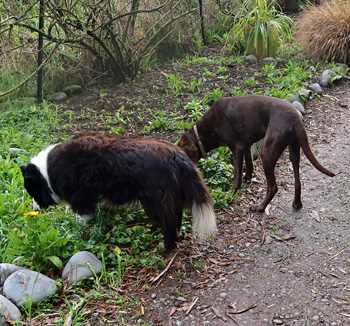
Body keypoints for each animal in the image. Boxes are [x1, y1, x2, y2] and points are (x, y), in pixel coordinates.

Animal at [21, 134, 216, 248]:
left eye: (33, 193)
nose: (35, 211)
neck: (47, 173)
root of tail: (176, 156)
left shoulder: (80, 199)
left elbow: (82, 218)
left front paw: (79, 231)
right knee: (177, 218)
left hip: (154, 202)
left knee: (169, 222)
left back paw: (166, 247)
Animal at [179, 95, 334, 211]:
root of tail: (296, 119)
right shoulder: (246, 145)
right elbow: (249, 165)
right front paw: (248, 177)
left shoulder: (237, 148)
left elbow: (237, 179)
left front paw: (229, 195)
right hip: (294, 150)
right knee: (297, 180)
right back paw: (296, 203)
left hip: (267, 154)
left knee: (273, 187)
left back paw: (260, 207)